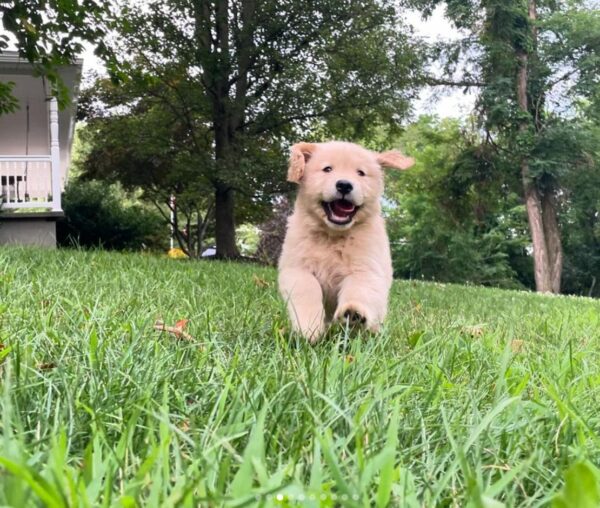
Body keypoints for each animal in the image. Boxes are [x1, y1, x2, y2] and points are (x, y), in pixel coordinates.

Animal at [278, 141, 414, 344]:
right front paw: (309, 328)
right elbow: (307, 289)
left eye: (361, 173)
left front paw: (353, 312)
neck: (333, 235)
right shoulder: (296, 268)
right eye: (327, 169)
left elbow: (359, 289)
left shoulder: (366, 267)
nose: (344, 185)